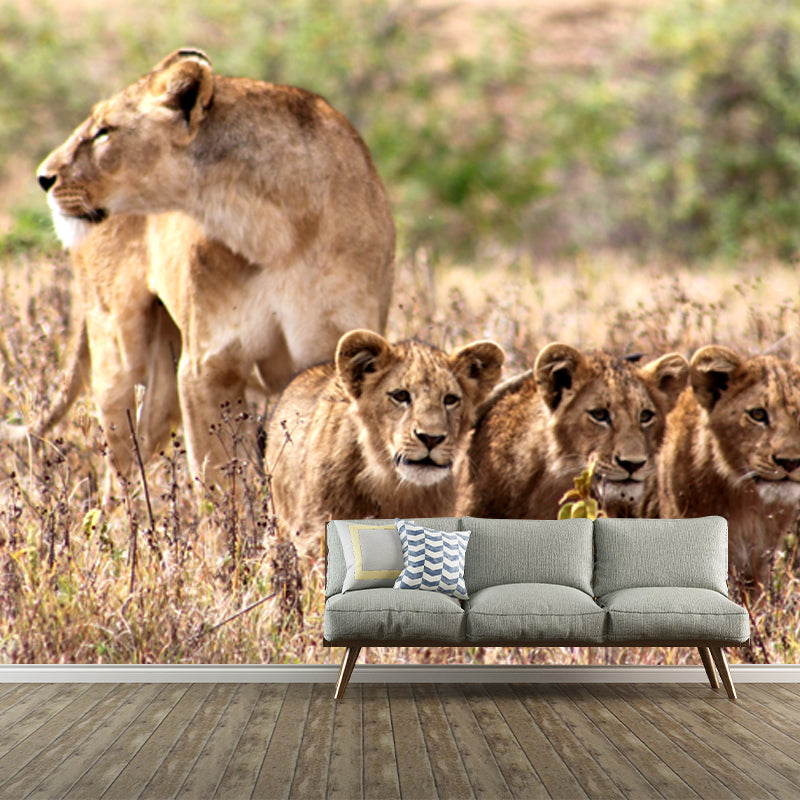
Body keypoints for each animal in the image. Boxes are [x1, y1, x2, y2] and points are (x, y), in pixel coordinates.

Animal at [29, 49, 394, 489]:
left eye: (104, 132)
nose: (44, 177)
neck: (275, 232)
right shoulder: (207, 366)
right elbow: (221, 480)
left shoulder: (334, 354)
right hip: (117, 348)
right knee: (118, 467)